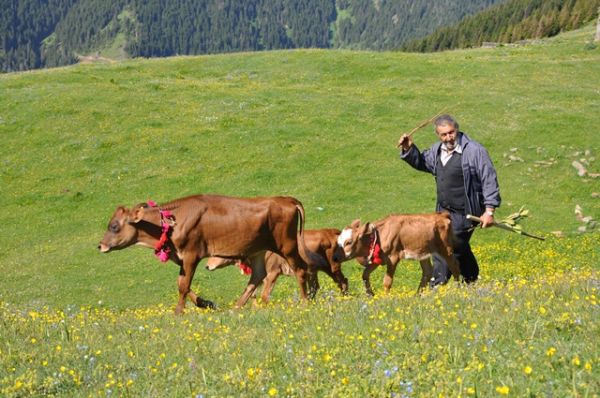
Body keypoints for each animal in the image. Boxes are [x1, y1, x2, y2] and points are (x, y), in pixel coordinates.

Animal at [98, 194, 324, 312]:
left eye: (114, 226)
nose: (100, 246)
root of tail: (287, 199)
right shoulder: (182, 258)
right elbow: (182, 284)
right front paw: (206, 303)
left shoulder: (191, 254)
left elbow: (183, 286)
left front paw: (178, 313)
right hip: (258, 249)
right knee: (257, 276)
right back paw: (236, 308)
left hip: (286, 244)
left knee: (300, 269)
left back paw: (305, 302)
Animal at [205, 227, 350, 302]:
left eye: (215, 254)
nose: (206, 266)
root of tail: (330, 231)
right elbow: (253, 294)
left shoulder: (272, 273)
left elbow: (264, 295)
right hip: (313, 271)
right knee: (315, 287)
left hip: (332, 267)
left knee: (343, 281)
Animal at [332, 213, 460, 294]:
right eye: (338, 241)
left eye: (349, 242)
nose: (335, 257)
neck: (380, 234)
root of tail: (442, 215)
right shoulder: (378, 260)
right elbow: (365, 275)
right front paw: (370, 294)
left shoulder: (393, 258)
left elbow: (387, 282)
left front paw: (386, 298)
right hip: (423, 252)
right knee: (427, 272)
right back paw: (417, 295)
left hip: (446, 248)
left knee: (454, 266)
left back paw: (458, 289)